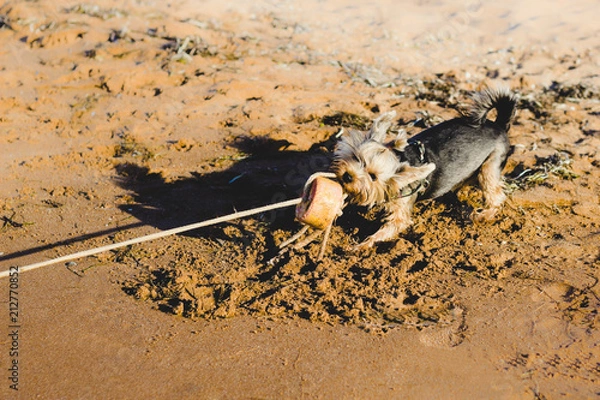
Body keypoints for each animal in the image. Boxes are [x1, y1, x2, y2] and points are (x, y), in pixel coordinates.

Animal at [330, 87, 516, 250]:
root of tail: (499, 125)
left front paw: (361, 246)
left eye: (373, 176)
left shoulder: (400, 214)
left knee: (496, 196)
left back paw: (483, 215)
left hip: (489, 168)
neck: (400, 159)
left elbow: (385, 231)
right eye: (356, 158)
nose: (348, 176)